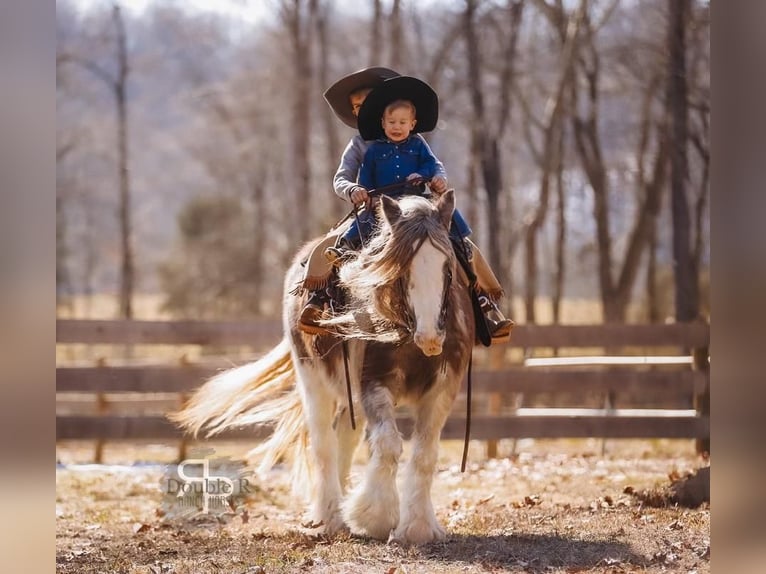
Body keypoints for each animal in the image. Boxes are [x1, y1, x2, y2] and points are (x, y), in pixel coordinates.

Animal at [171, 191, 476, 548]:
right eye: (401, 271)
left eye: (448, 268)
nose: (430, 338)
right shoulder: (374, 383)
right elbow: (388, 445)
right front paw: (376, 517)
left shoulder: (443, 388)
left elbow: (425, 454)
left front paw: (418, 528)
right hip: (312, 380)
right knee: (323, 444)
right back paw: (330, 516)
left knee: (345, 436)